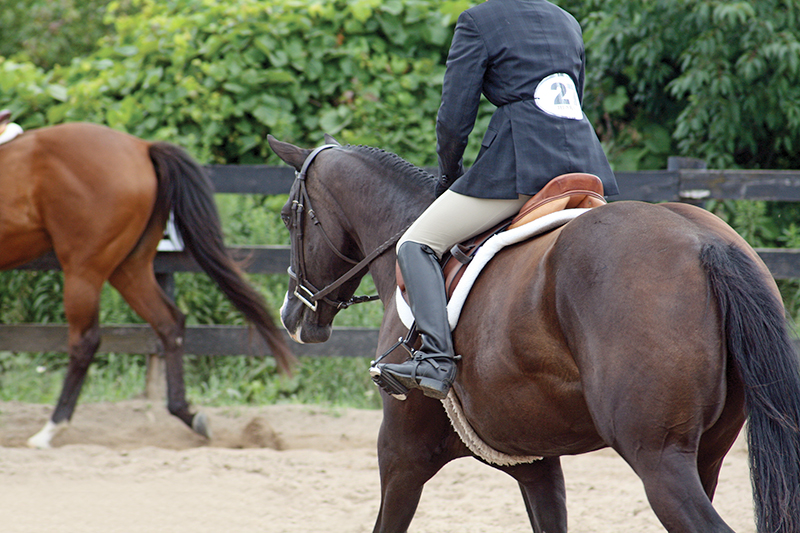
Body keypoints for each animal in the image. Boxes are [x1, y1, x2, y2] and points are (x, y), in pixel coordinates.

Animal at [0, 121, 296, 448]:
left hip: (84, 270)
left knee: (85, 341)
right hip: (129, 267)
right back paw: (188, 414)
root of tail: (142, 147)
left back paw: (51, 429)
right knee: (169, 323)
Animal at [267, 134, 800, 533]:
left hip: (660, 459)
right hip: (705, 456)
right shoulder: (535, 463)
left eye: (288, 216)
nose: (291, 315)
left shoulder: (402, 454)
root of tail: (704, 241)